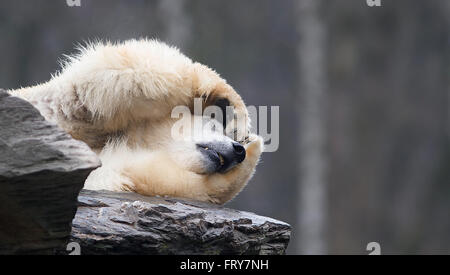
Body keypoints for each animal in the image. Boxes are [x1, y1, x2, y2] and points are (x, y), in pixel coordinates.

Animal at [8, 38, 264, 205]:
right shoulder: (58, 112)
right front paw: (234, 112)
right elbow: (108, 79)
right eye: (213, 126)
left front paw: (252, 148)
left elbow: (139, 173)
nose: (238, 150)